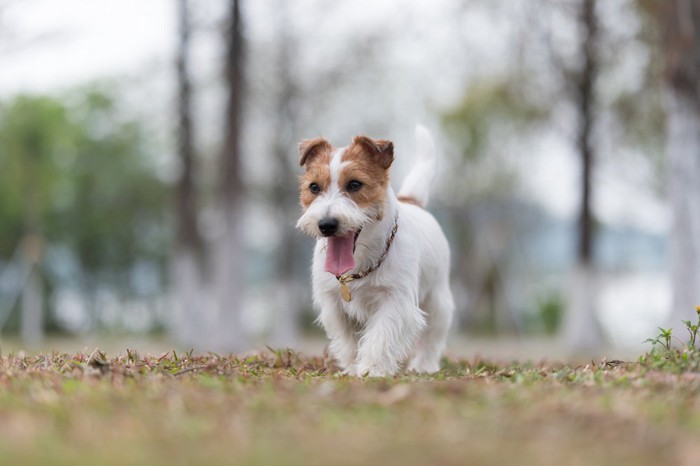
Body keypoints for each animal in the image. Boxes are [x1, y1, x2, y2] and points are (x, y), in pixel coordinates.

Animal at [296, 125, 454, 376]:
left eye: (354, 184)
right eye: (314, 187)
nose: (327, 224)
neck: (360, 263)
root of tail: (410, 200)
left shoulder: (395, 299)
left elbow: (382, 335)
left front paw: (372, 369)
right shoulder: (334, 304)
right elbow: (348, 340)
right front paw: (353, 367)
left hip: (438, 299)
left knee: (433, 336)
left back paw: (424, 365)